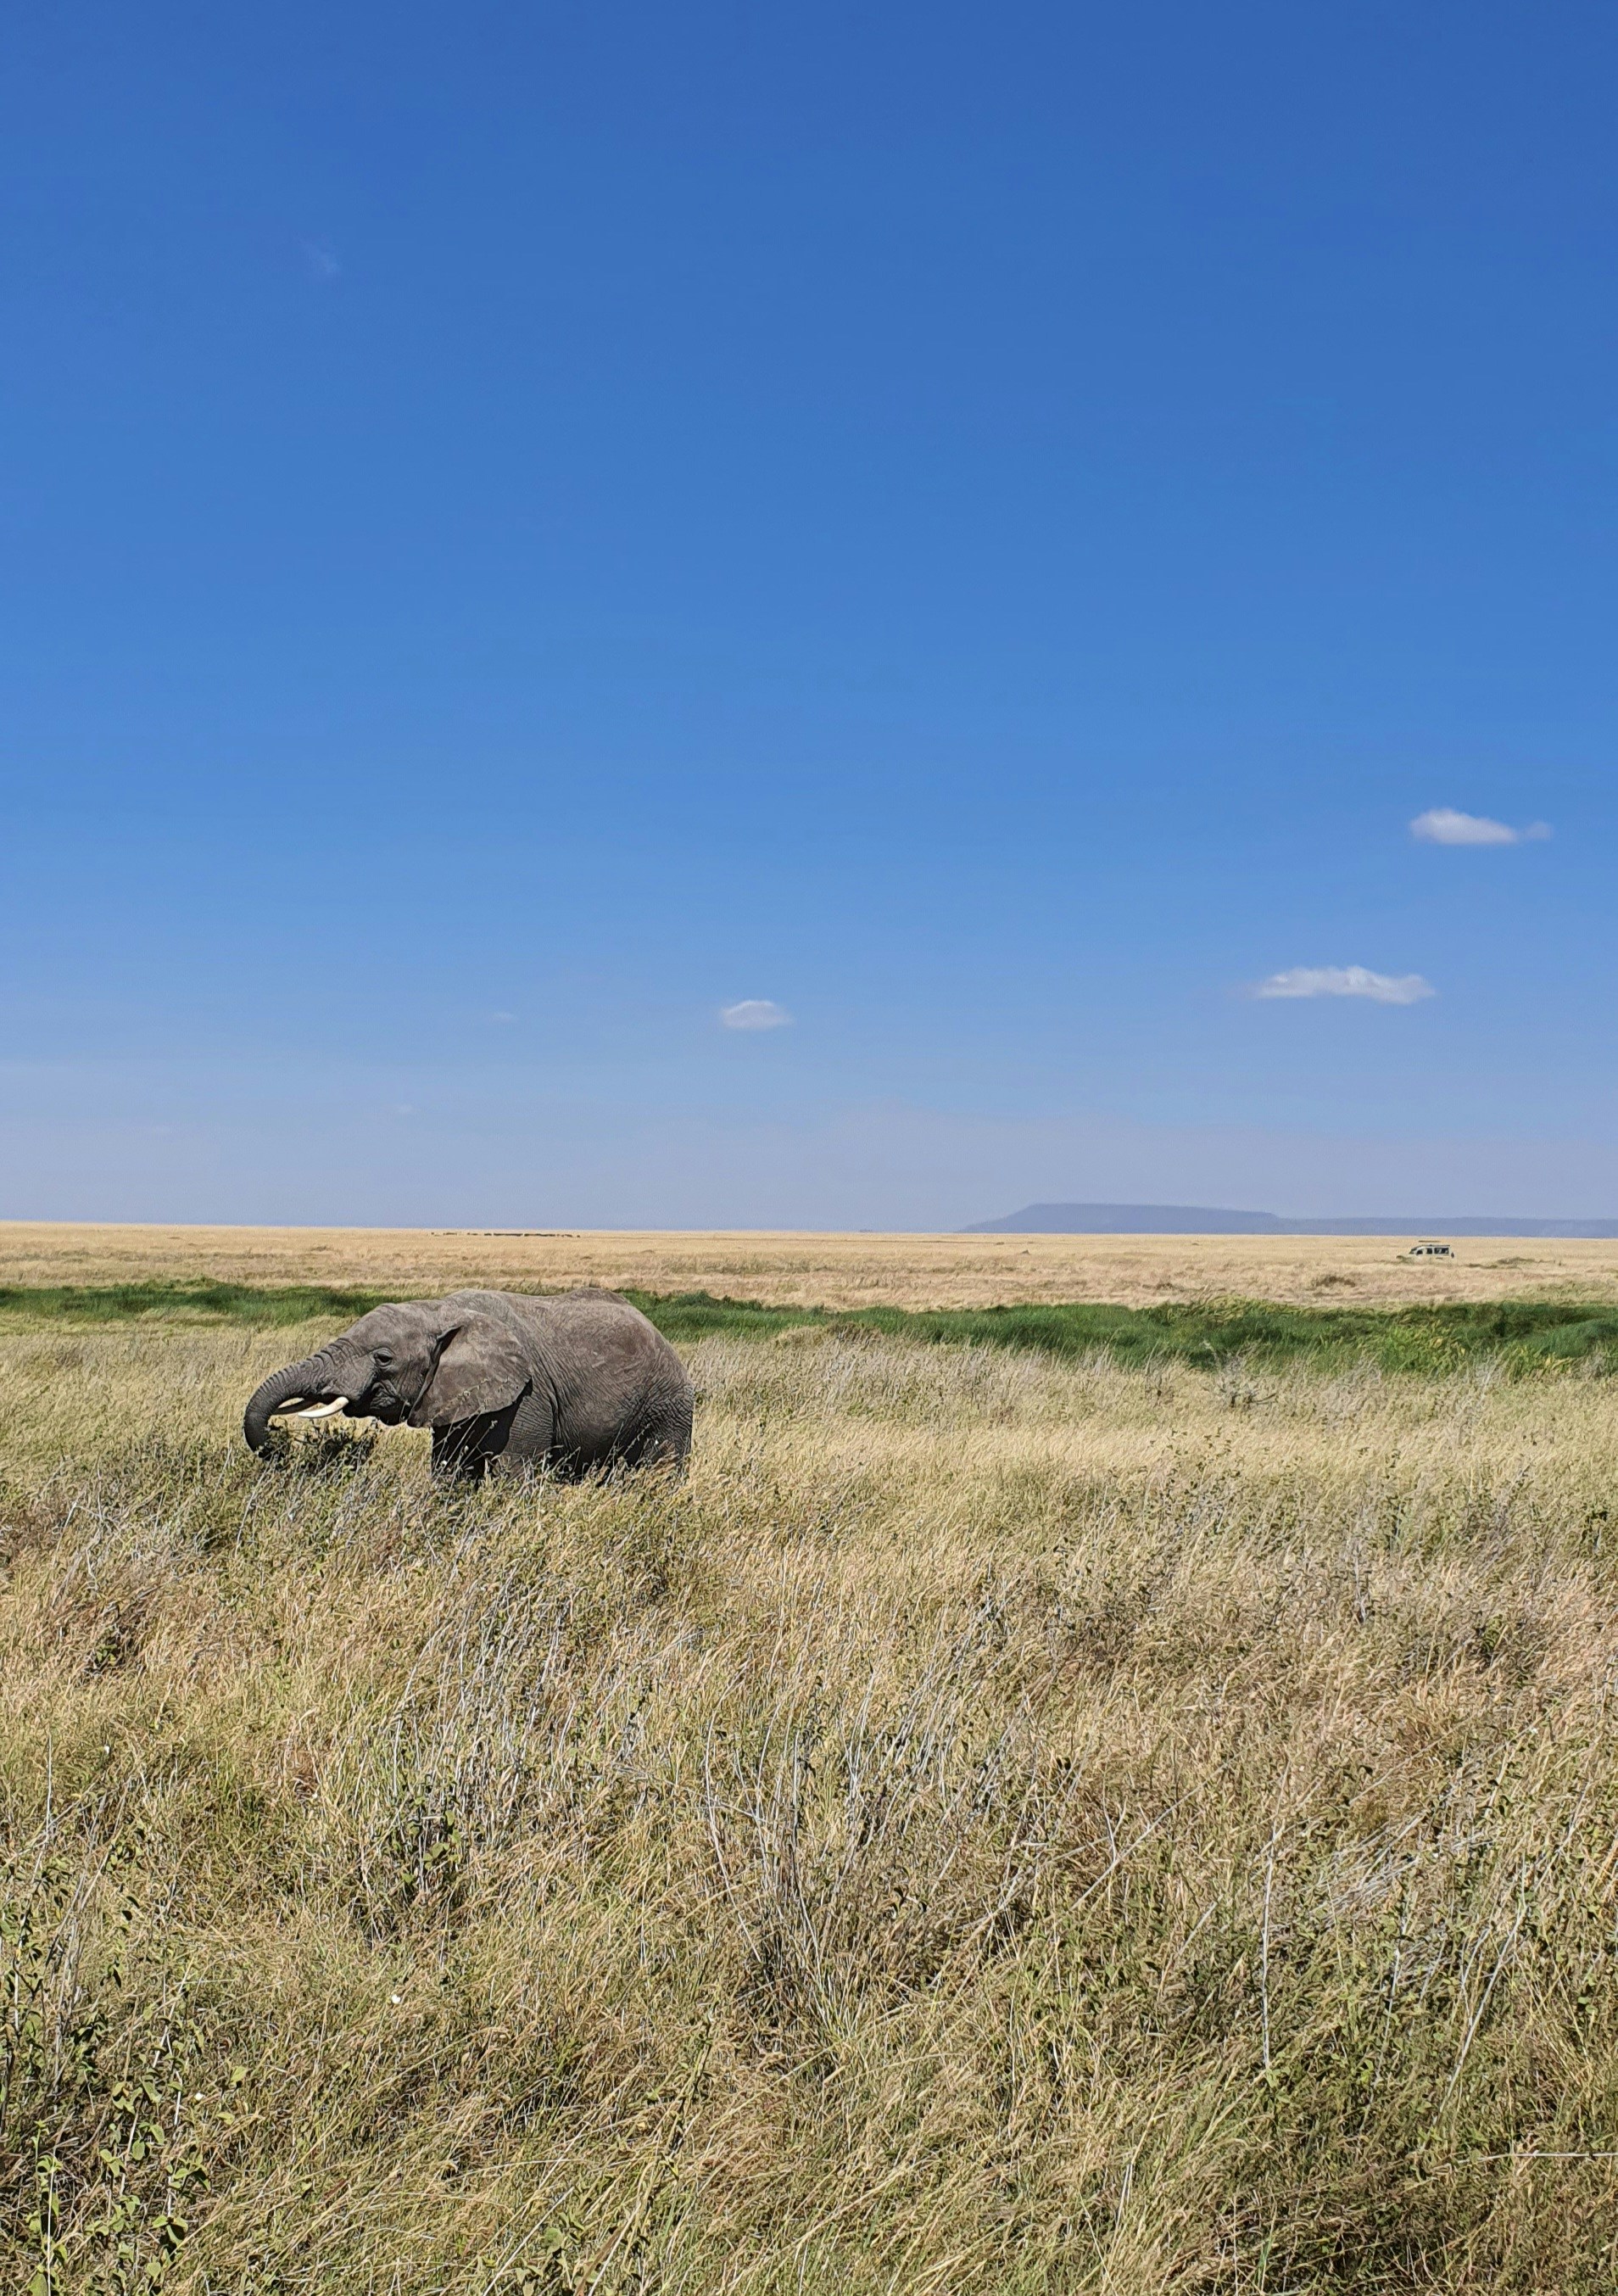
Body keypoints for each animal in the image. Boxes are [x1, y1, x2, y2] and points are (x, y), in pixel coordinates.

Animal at [242, 1288, 693, 1480]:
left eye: (383, 1358)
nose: (279, 1446)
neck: (438, 1309)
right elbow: (449, 1470)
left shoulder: (527, 1398)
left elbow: (516, 1477)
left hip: (668, 1403)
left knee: (661, 1471)